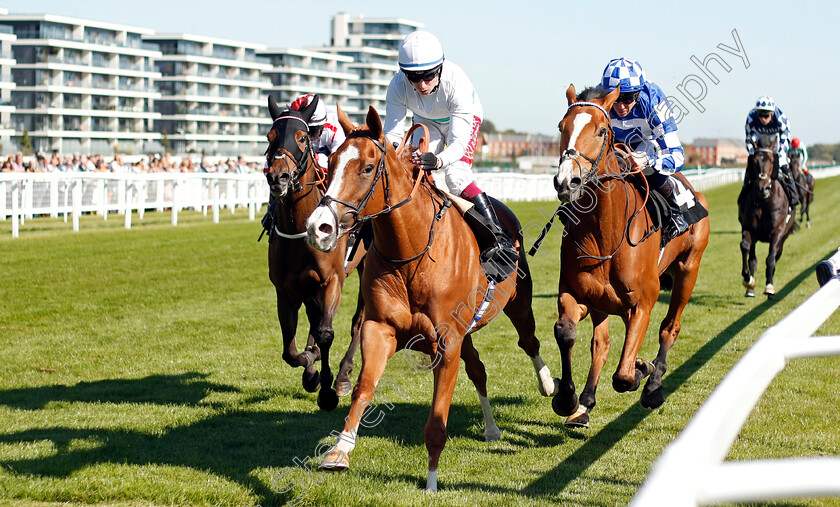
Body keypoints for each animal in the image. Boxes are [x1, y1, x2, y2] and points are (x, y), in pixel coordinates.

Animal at [264, 96, 366, 412]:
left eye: (301, 137)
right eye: (270, 137)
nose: (279, 177)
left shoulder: (331, 280)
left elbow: (326, 332)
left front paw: (327, 390)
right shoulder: (285, 289)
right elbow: (289, 349)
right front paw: (311, 370)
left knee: (359, 321)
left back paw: (343, 375)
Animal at [306, 104, 560, 492]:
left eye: (367, 167)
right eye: (330, 162)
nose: (318, 227)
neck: (411, 251)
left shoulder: (448, 339)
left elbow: (438, 419)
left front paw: (431, 480)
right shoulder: (380, 328)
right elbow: (364, 387)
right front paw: (339, 451)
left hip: (519, 302)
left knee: (529, 341)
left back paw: (549, 385)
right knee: (479, 369)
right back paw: (491, 428)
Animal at [552, 86, 708, 428]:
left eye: (601, 130)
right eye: (561, 127)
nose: (566, 181)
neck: (605, 236)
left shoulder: (643, 303)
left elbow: (623, 377)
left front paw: (640, 372)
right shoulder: (576, 294)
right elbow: (566, 332)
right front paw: (567, 397)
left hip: (688, 271)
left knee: (670, 328)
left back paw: (652, 386)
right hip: (604, 301)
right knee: (601, 344)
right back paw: (584, 405)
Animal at [740, 135, 796, 300]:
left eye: (772, 160)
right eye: (754, 160)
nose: (762, 188)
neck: (764, 202)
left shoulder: (777, 232)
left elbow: (770, 258)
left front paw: (769, 287)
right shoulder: (748, 228)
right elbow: (745, 247)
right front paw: (747, 279)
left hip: (784, 237)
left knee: (776, 256)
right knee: (753, 258)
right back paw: (750, 288)